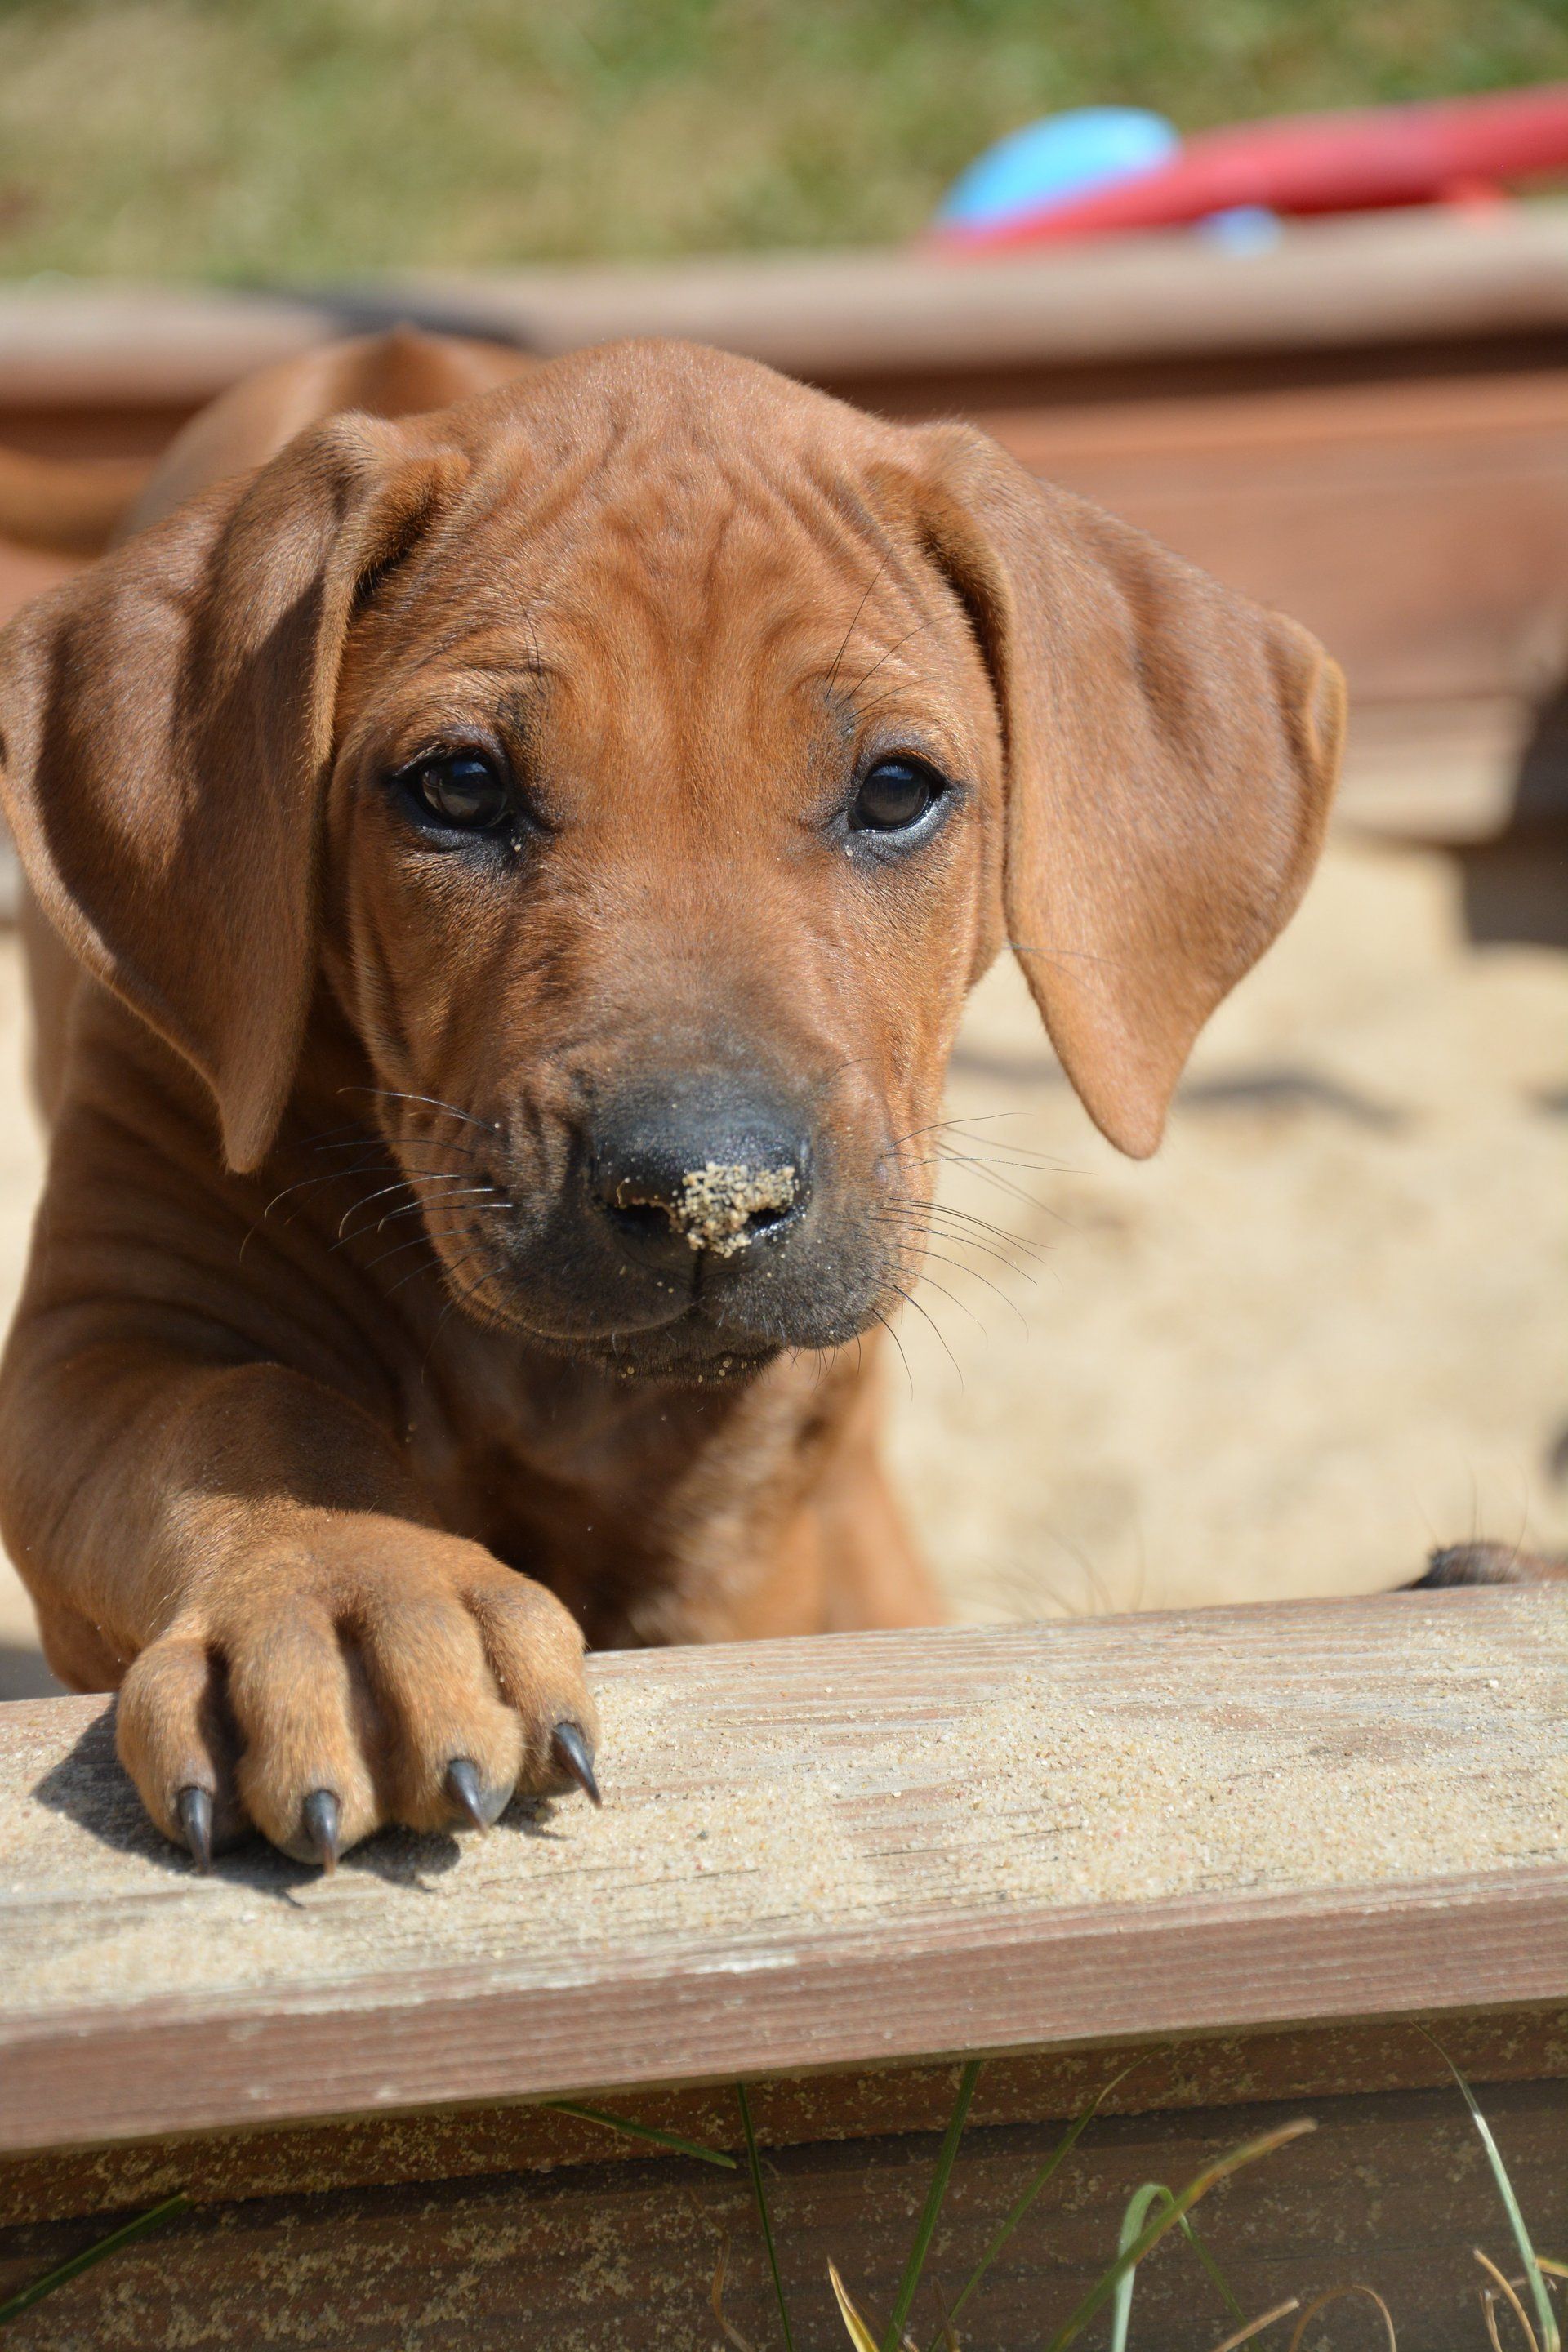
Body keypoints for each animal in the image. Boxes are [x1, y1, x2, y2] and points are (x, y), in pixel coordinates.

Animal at [0, 336, 1354, 1872]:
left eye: (898, 789)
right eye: (457, 785)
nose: (709, 1192)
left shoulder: (739, 1514)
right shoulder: (102, 1333)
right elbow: (242, 1411)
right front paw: (348, 1595)